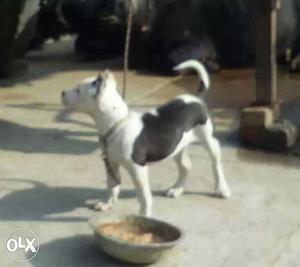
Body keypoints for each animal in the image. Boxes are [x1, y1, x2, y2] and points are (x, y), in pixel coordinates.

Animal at [60, 59, 230, 217]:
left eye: (77, 90)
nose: (62, 92)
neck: (117, 124)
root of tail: (197, 98)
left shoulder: (138, 168)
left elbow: (143, 195)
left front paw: (144, 215)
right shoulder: (111, 163)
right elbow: (112, 185)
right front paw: (106, 204)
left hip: (208, 139)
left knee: (216, 164)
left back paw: (221, 189)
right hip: (177, 146)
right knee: (185, 166)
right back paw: (176, 189)